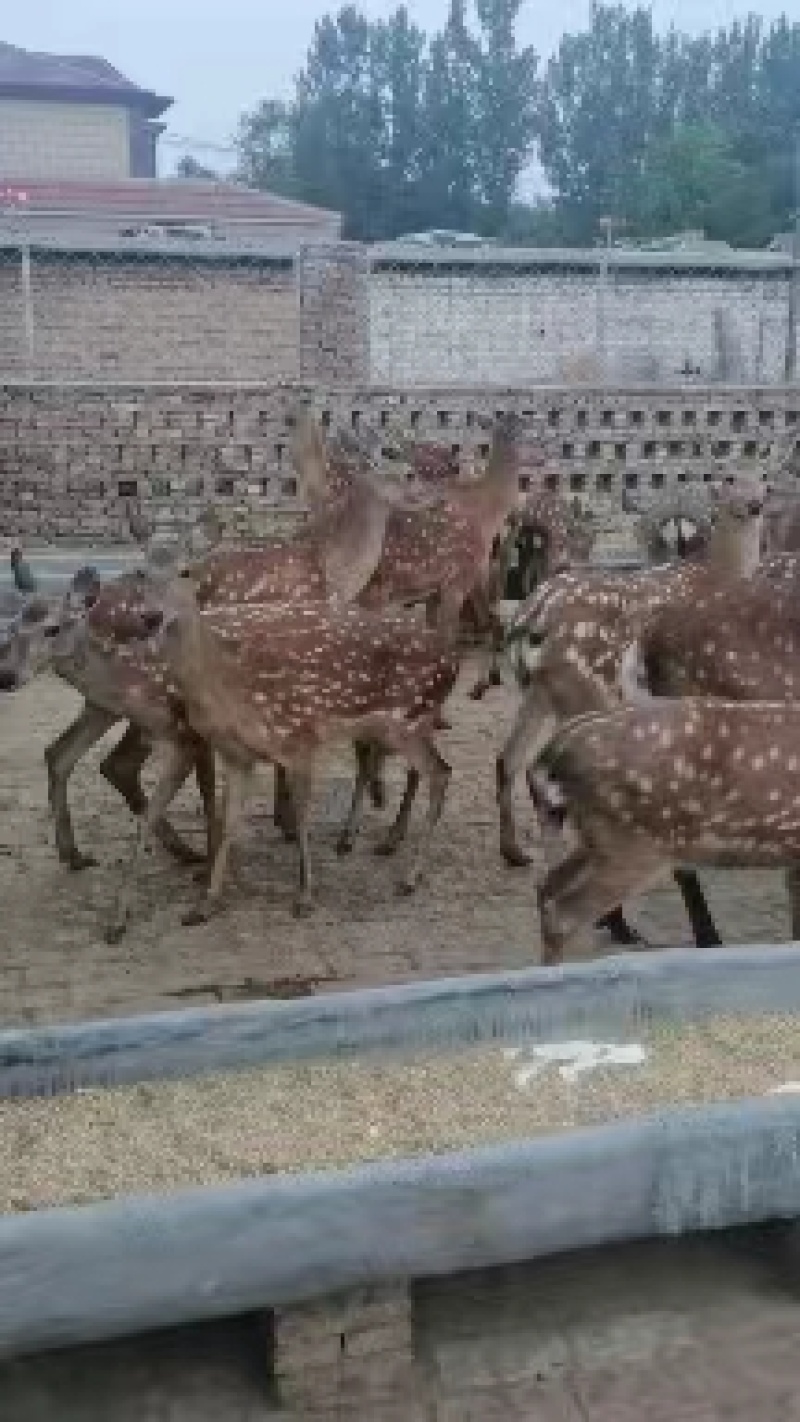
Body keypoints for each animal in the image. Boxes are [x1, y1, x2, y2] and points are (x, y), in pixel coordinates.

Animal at [496, 473, 768, 948]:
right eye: (727, 483)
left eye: (763, 483)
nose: (754, 505)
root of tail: (530, 621)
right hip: (585, 697)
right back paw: (620, 924)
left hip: (536, 696)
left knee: (512, 762)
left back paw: (519, 856)